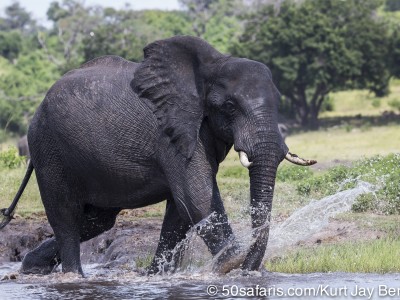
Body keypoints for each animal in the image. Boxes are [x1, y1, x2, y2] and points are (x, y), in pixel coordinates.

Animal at [0, 36, 316, 276]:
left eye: (279, 101)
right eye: (229, 106)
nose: (252, 267)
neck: (211, 66)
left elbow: (180, 210)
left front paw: (158, 275)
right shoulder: (170, 132)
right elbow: (196, 197)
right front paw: (232, 262)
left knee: (97, 221)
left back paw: (32, 267)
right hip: (48, 147)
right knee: (66, 215)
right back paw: (72, 277)